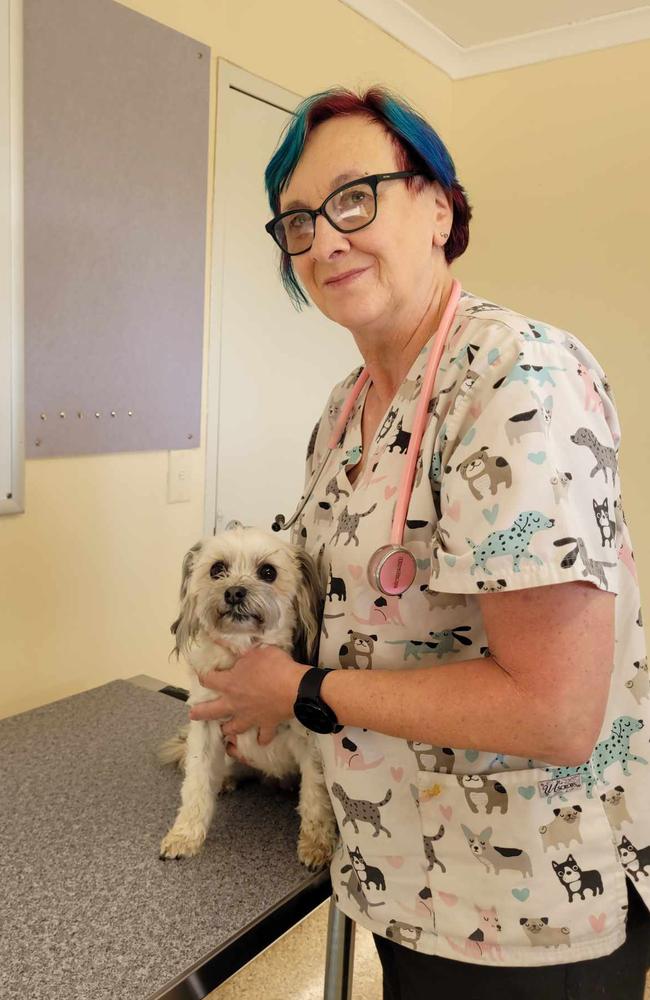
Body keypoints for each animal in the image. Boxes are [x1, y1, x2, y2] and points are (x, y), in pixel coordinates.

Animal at [159, 524, 336, 868]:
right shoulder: (205, 727)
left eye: (268, 572)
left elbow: (315, 796)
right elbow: (196, 783)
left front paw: (316, 844)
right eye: (217, 569)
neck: (243, 652)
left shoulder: (310, 744)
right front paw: (185, 835)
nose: (234, 592)